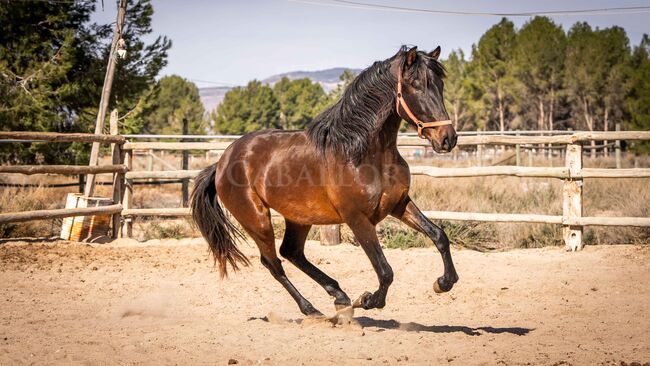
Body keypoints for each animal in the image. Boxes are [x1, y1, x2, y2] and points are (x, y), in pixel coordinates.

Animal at [190, 45, 458, 314]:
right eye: (416, 84)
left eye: (440, 84)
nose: (448, 138)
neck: (363, 154)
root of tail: (222, 162)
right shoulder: (357, 218)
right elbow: (385, 270)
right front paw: (368, 300)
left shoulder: (399, 204)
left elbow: (439, 236)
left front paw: (443, 282)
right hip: (257, 221)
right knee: (273, 263)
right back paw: (311, 308)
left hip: (298, 217)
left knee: (291, 252)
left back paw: (339, 295)